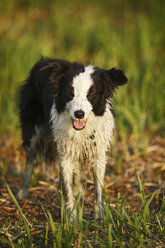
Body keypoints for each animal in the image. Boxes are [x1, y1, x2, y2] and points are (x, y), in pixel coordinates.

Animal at [16, 57, 127, 221]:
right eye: (70, 93)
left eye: (92, 94)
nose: (79, 114)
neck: (81, 130)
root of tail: (43, 61)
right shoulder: (64, 155)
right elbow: (67, 189)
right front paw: (72, 220)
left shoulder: (98, 155)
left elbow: (98, 190)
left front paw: (99, 218)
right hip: (32, 132)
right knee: (30, 160)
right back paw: (22, 192)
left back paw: (79, 190)